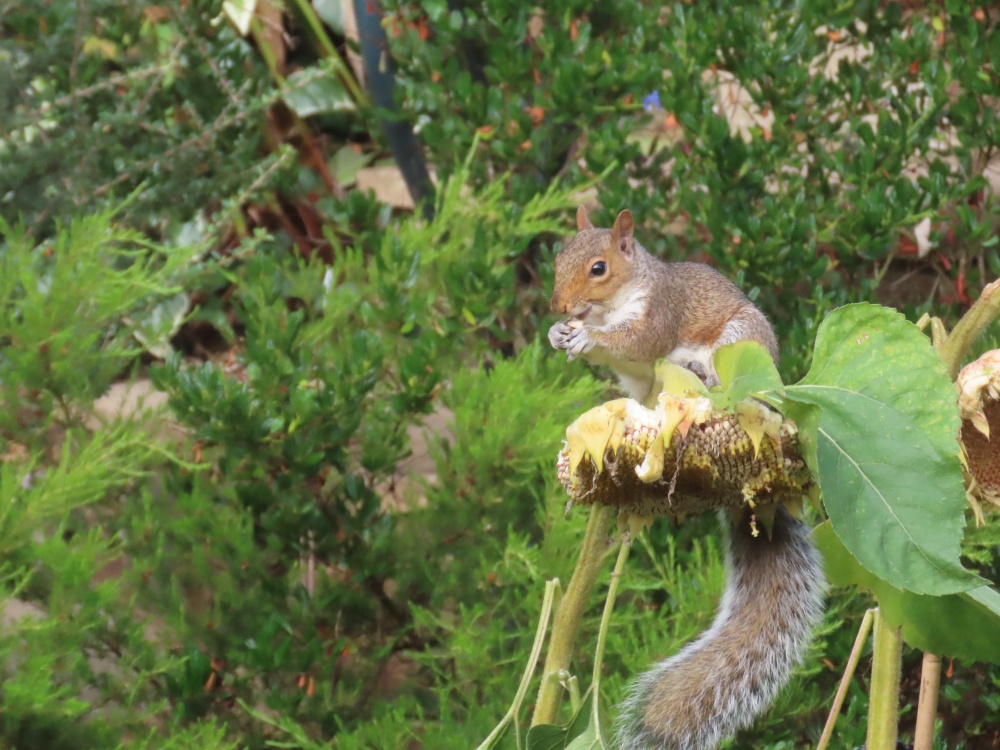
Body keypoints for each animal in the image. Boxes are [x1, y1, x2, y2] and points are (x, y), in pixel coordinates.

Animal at [547, 206, 826, 750]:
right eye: (557, 257)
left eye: (598, 268)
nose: (560, 305)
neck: (613, 304)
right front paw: (559, 334)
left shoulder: (661, 315)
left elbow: (638, 340)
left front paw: (588, 337)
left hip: (738, 345)